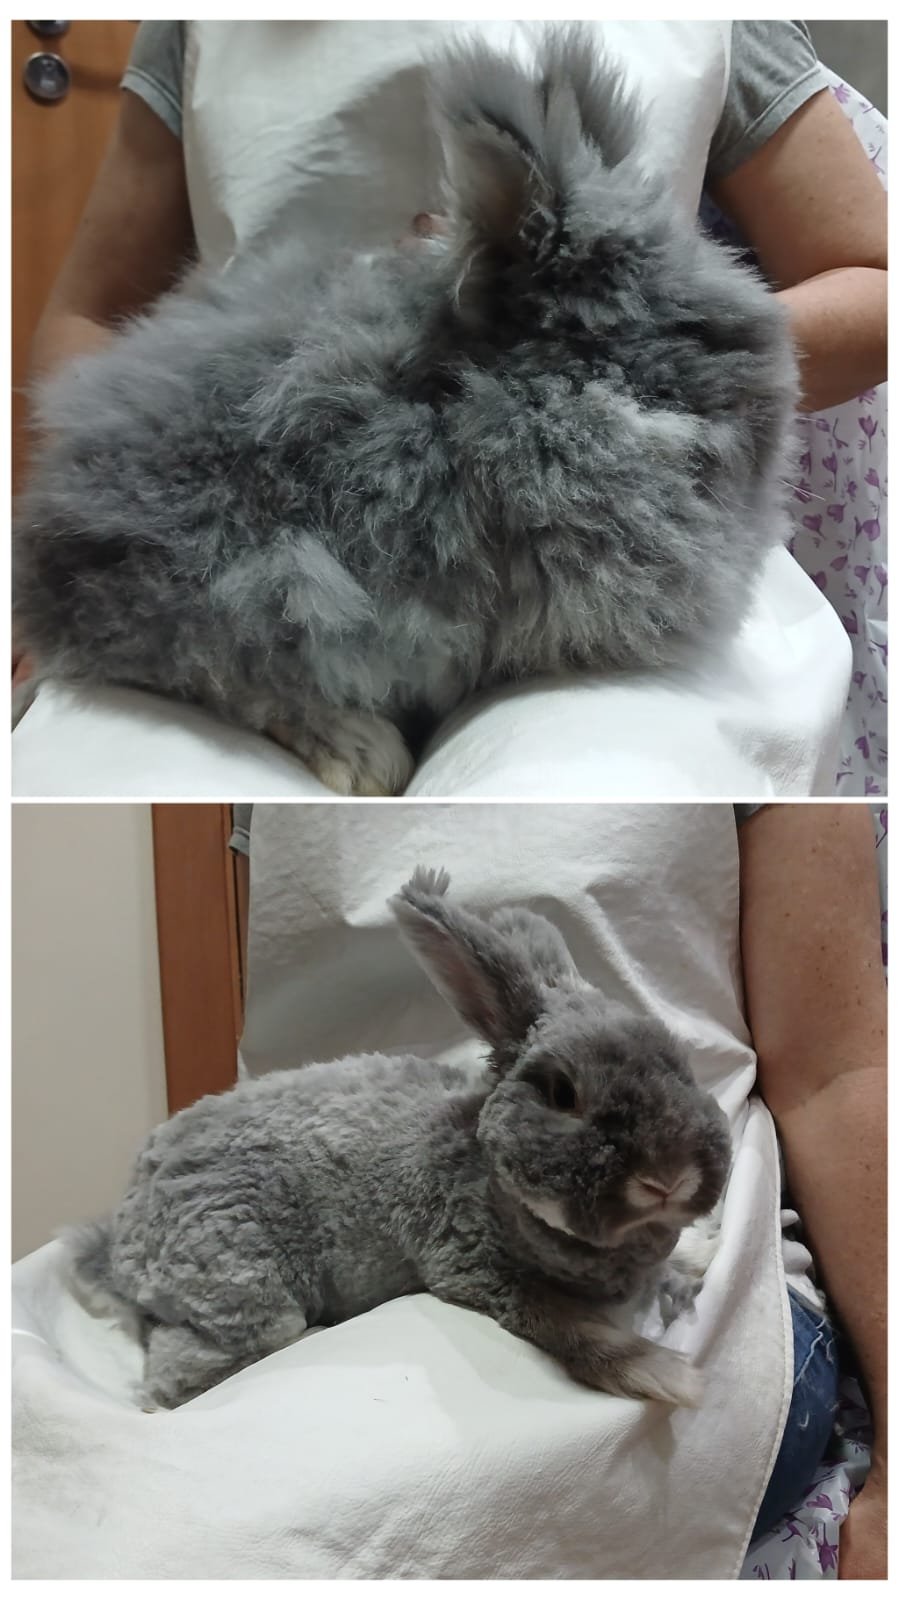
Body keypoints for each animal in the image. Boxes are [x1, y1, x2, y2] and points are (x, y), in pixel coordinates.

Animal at [63, 867, 732, 1411]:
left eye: (683, 1066)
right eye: (564, 1093)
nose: (669, 1178)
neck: (490, 1179)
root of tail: (120, 1243)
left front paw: (701, 1250)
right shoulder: (477, 1271)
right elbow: (579, 1331)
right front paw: (669, 1377)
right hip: (241, 1282)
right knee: (173, 1381)